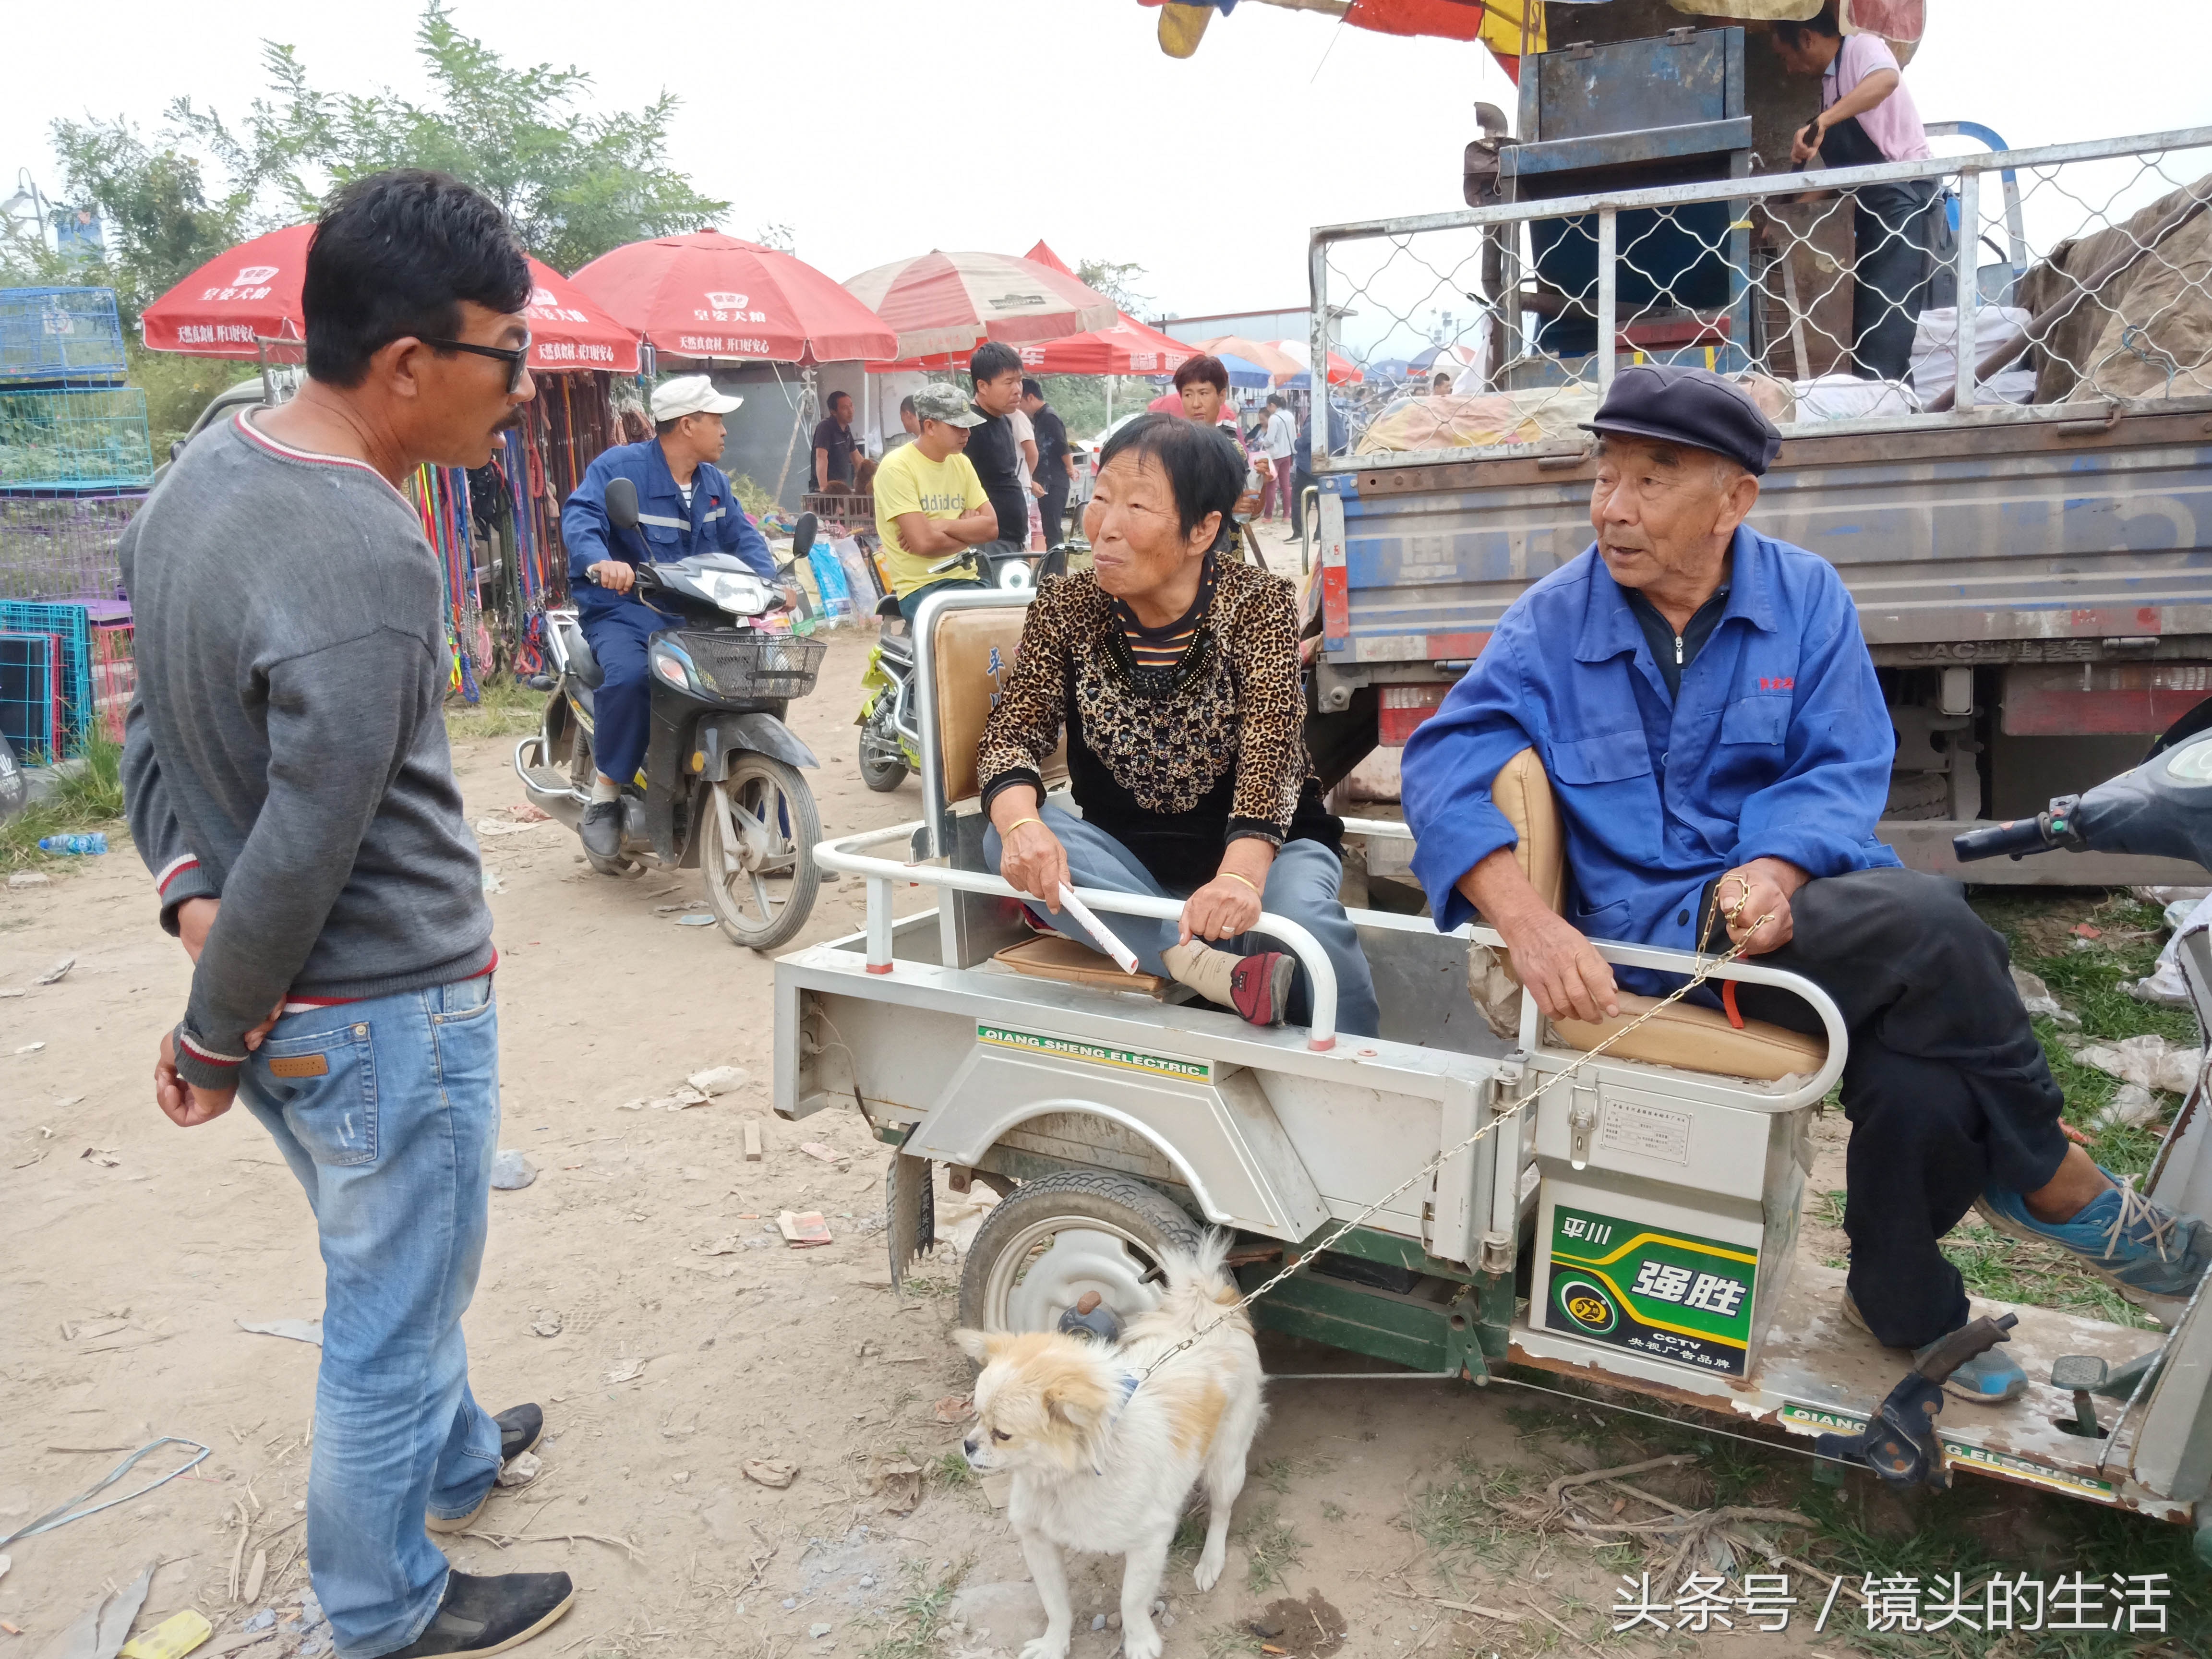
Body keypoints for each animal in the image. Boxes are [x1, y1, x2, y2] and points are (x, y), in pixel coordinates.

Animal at [951, 1238, 1265, 1659]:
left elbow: (1131, 1600)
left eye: (1003, 1434)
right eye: (976, 1415)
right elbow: (1056, 1603)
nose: (968, 1445)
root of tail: (1210, 1313)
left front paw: (1140, 1641)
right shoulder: (1038, 1541)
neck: (1061, 1482)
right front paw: (1054, 1644)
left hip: (1226, 1464)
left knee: (1222, 1511)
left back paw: (1210, 1561)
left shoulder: (1149, 1539)